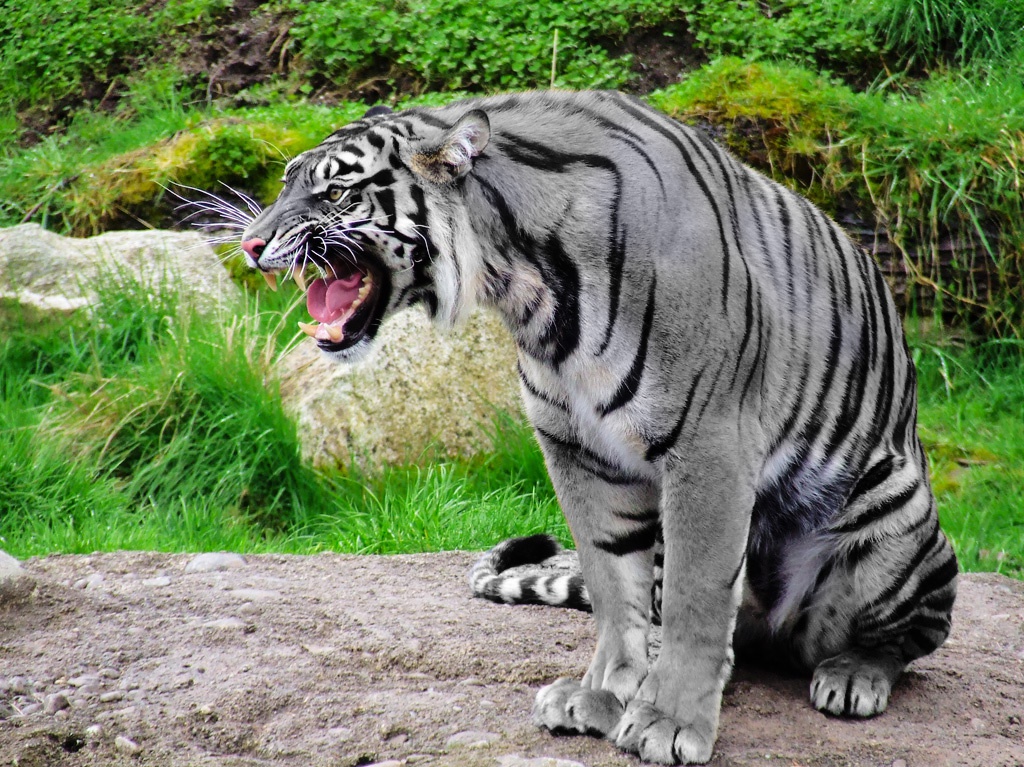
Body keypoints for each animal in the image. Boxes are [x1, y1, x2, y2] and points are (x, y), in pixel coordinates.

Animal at [238, 90, 958, 765]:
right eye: (287, 182)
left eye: (336, 191)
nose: (250, 244)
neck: (528, 288)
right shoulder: (578, 449)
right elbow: (613, 583)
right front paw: (606, 695)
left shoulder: (709, 444)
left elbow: (699, 593)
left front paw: (670, 721)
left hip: (895, 505)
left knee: (911, 637)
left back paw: (852, 677)